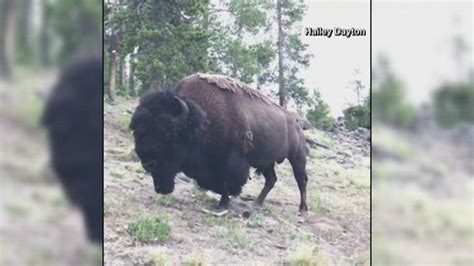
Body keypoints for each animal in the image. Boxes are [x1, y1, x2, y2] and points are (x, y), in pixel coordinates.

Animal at [131, 74, 312, 211]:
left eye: (168, 135)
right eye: (136, 132)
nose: (147, 163)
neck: (202, 121)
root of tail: (296, 123)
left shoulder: (230, 164)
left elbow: (227, 184)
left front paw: (223, 204)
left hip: (297, 157)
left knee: (301, 180)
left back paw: (302, 208)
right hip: (266, 162)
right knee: (271, 179)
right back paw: (257, 203)